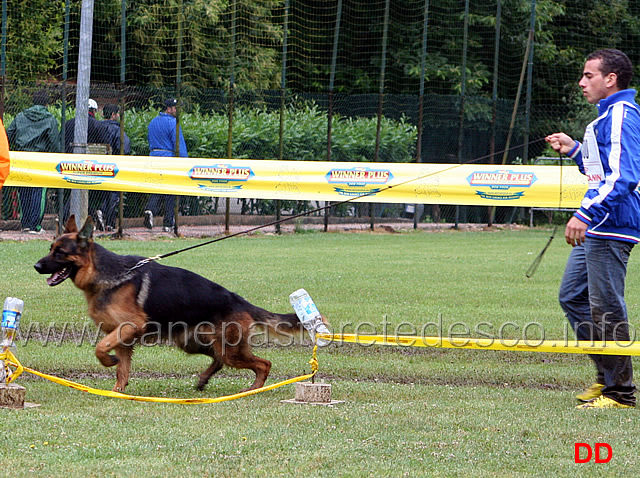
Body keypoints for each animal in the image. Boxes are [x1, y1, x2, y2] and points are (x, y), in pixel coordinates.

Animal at [32, 216, 322, 392]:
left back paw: (252, 389)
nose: (35, 266)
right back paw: (204, 381)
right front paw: (118, 392)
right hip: (192, 342)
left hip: (229, 349)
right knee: (218, 360)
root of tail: (238, 299)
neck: (106, 274)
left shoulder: (128, 328)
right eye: (50, 248)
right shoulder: (123, 338)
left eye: (60, 253)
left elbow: (101, 348)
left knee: (263, 364)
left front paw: (109, 362)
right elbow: (122, 371)